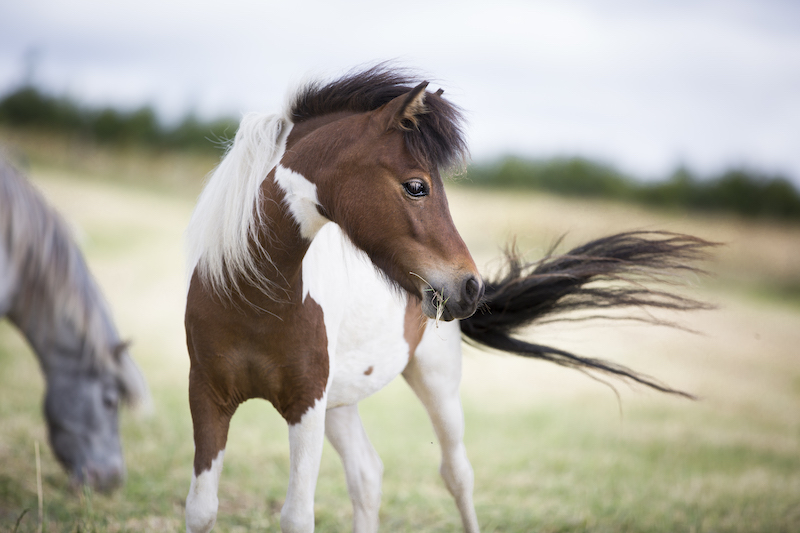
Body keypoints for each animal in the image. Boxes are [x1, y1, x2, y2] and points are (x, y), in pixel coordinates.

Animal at [184, 66, 713, 532]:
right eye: (417, 186)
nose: (471, 286)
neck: (252, 297)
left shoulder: (306, 405)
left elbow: (296, 517)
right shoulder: (209, 397)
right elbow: (202, 510)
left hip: (435, 385)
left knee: (456, 475)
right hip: (343, 400)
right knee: (367, 476)